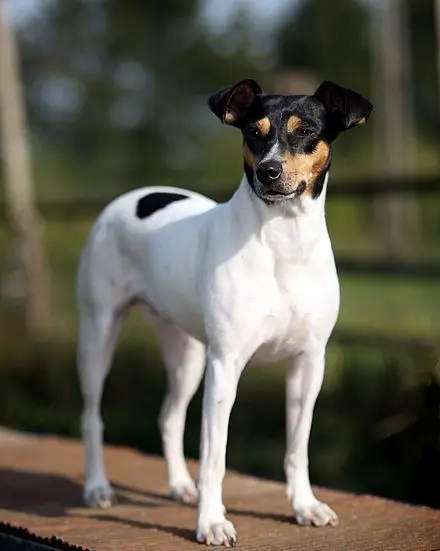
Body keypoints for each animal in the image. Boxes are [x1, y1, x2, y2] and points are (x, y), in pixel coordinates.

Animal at [75, 78, 372, 548]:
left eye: (306, 131)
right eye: (254, 132)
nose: (269, 172)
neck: (283, 242)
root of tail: (130, 197)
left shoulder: (309, 364)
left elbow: (297, 447)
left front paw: (304, 506)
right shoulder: (225, 366)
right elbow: (215, 459)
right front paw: (212, 522)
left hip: (187, 355)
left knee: (169, 416)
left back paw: (180, 485)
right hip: (98, 337)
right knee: (91, 418)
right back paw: (98, 487)